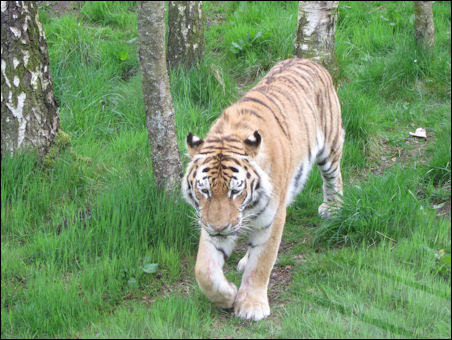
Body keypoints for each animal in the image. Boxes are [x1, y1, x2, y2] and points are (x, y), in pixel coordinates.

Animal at [182, 57, 344, 320]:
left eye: (235, 191)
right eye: (205, 191)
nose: (219, 228)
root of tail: (307, 59)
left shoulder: (273, 217)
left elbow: (262, 263)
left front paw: (251, 305)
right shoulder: (207, 220)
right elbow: (204, 270)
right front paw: (227, 295)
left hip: (329, 146)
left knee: (334, 175)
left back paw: (333, 207)